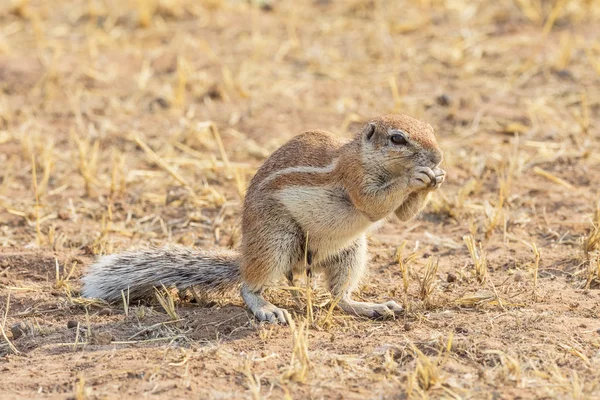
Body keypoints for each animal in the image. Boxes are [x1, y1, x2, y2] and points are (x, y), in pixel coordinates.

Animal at [82, 114, 442, 324]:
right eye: (397, 138)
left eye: (431, 129)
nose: (438, 156)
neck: (367, 157)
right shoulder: (353, 176)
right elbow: (373, 204)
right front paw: (416, 177)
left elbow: (403, 215)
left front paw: (437, 178)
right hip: (275, 240)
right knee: (248, 286)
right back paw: (266, 308)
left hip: (350, 252)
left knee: (339, 297)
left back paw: (371, 307)